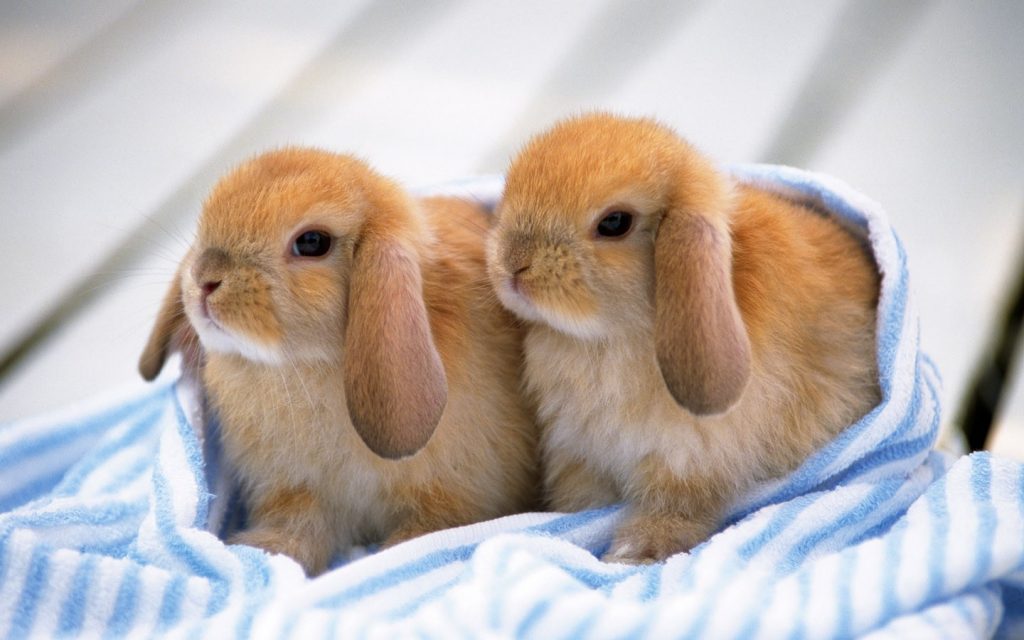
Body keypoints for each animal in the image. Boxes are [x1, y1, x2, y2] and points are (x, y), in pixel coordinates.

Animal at [140, 147, 539, 576]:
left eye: (312, 242)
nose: (205, 280)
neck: (311, 364)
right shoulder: (299, 494)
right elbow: (298, 531)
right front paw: (261, 548)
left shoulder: (453, 498)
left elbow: (423, 534)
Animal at [486, 113, 880, 563]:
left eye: (614, 223)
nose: (513, 264)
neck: (612, 337)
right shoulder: (579, 452)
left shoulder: (687, 460)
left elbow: (677, 509)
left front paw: (635, 551)